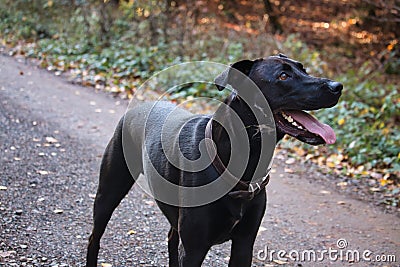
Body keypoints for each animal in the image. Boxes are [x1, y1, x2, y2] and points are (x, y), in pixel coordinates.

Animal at [86, 54, 342, 267]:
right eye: (283, 76)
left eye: (303, 69)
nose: (337, 87)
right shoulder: (194, 248)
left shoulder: (244, 245)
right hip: (109, 191)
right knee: (94, 237)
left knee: (171, 238)